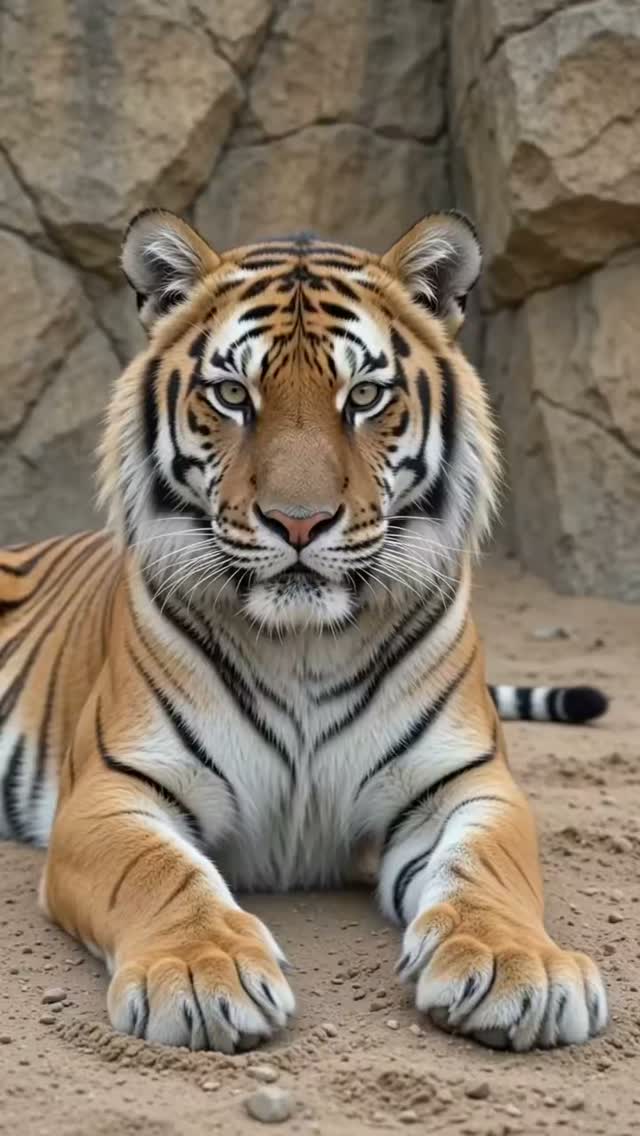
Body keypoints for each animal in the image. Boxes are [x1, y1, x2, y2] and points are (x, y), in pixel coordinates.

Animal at [0, 208, 609, 1054]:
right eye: (232, 394)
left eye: (365, 395)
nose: (298, 523)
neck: (303, 646)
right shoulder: (113, 790)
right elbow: (158, 872)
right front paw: (201, 971)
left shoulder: (465, 782)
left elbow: (490, 870)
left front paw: (518, 967)